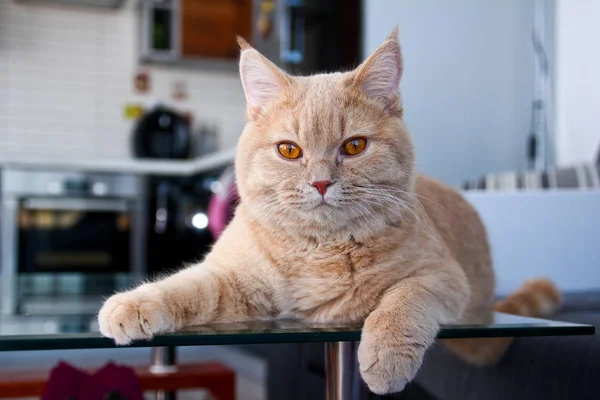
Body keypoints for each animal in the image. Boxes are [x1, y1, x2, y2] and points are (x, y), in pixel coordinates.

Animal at [98, 29, 564, 396]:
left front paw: (386, 356)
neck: (321, 251)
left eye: (354, 146)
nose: (321, 183)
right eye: (289, 151)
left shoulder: (443, 276)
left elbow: (404, 300)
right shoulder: (233, 280)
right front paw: (131, 305)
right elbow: (185, 286)